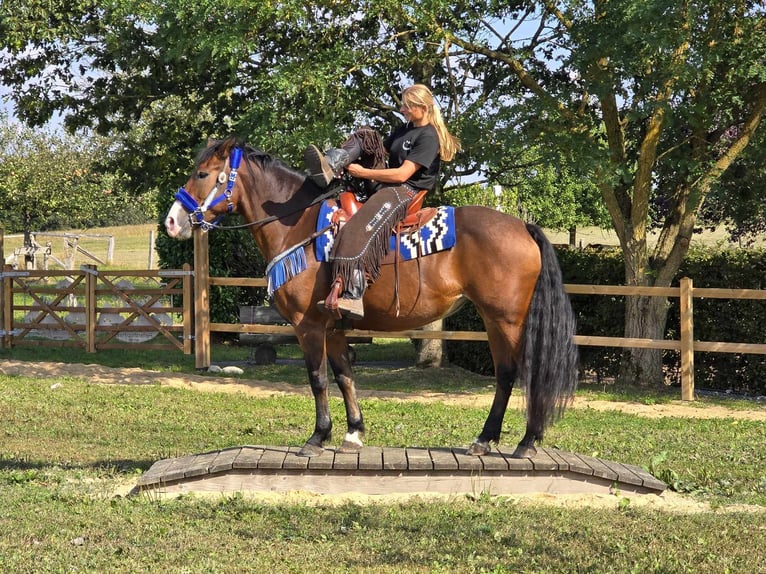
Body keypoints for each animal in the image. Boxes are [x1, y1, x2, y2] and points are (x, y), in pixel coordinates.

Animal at [166, 137, 576, 462]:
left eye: (202, 174)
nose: (172, 221)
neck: (299, 226)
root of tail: (522, 226)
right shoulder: (333, 327)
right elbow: (344, 376)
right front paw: (353, 433)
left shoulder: (308, 326)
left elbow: (317, 378)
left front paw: (318, 437)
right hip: (494, 320)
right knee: (506, 373)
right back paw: (485, 439)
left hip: (508, 319)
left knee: (526, 372)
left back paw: (526, 441)